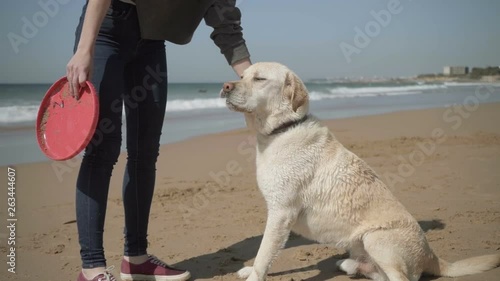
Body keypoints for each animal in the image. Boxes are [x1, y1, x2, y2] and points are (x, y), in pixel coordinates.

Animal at [221, 61, 500, 280]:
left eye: (259, 79)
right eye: (242, 77)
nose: (225, 87)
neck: (283, 129)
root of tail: (432, 255)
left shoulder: (281, 212)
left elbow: (264, 253)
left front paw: (254, 275)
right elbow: (263, 253)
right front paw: (249, 271)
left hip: (375, 239)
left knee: (401, 277)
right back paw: (351, 265)